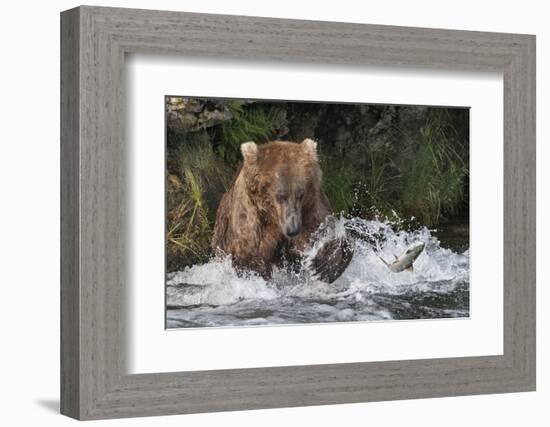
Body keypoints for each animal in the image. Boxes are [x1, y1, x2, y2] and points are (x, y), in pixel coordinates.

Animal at [211, 139, 354, 282]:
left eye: (300, 194)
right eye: (280, 196)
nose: (293, 229)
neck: (273, 218)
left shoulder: (309, 210)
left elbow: (323, 231)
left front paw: (323, 265)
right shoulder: (252, 225)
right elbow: (250, 260)